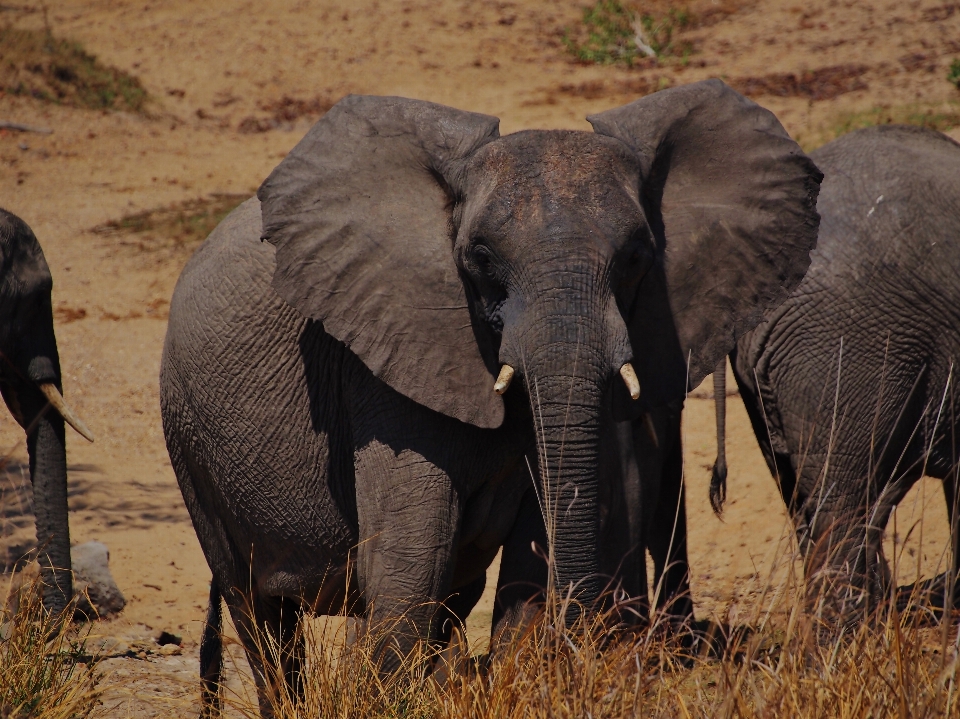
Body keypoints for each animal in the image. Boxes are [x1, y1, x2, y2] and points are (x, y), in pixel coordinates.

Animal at [161, 80, 820, 716]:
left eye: (637, 256)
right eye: (480, 257)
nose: (582, 651)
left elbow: (524, 569)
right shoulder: (384, 367)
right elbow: (408, 564)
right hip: (190, 440)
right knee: (258, 613)